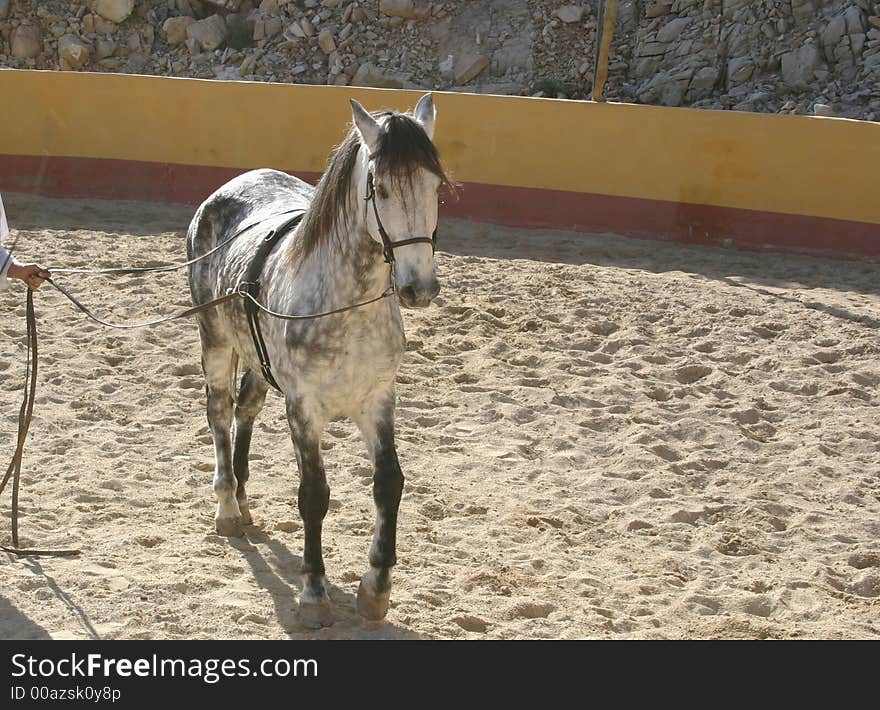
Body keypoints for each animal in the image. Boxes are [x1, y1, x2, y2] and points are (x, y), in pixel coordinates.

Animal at [186, 94, 446, 628]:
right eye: (380, 189)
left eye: (436, 187)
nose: (419, 287)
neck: (346, 304)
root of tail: (223, 193)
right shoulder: (303, 409)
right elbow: (314, 495)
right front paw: (313, 593)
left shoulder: (377, 399)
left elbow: (389, 484)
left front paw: (375, 589)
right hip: (215, 341)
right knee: (219, 413)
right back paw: (227, 509)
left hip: (255, 359)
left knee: (245, 409)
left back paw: (243, 501)